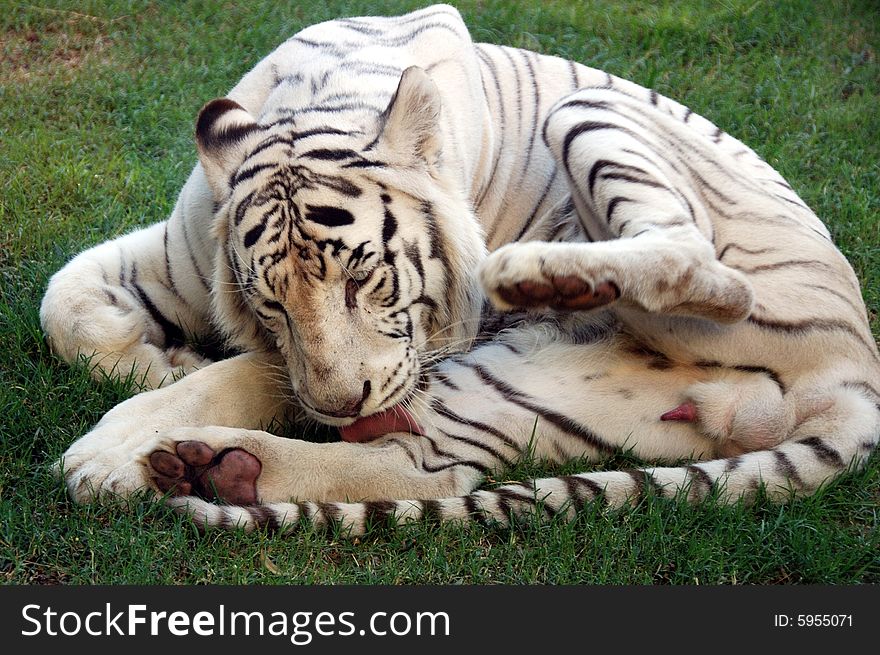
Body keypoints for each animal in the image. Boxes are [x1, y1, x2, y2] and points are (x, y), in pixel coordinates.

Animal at [43, 5, 880, 536]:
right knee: (421, 467)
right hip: (523, 387)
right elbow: (64, 305)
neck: (319, 102)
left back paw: (545, 275)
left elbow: (245, 371)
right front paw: (161, 368)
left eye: (363, 278)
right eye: (271, 303)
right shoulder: (178, 254)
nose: (339, 404)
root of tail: (857, 370)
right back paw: (216, 468)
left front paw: (112, 448)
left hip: (591, 113)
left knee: (696, 259)